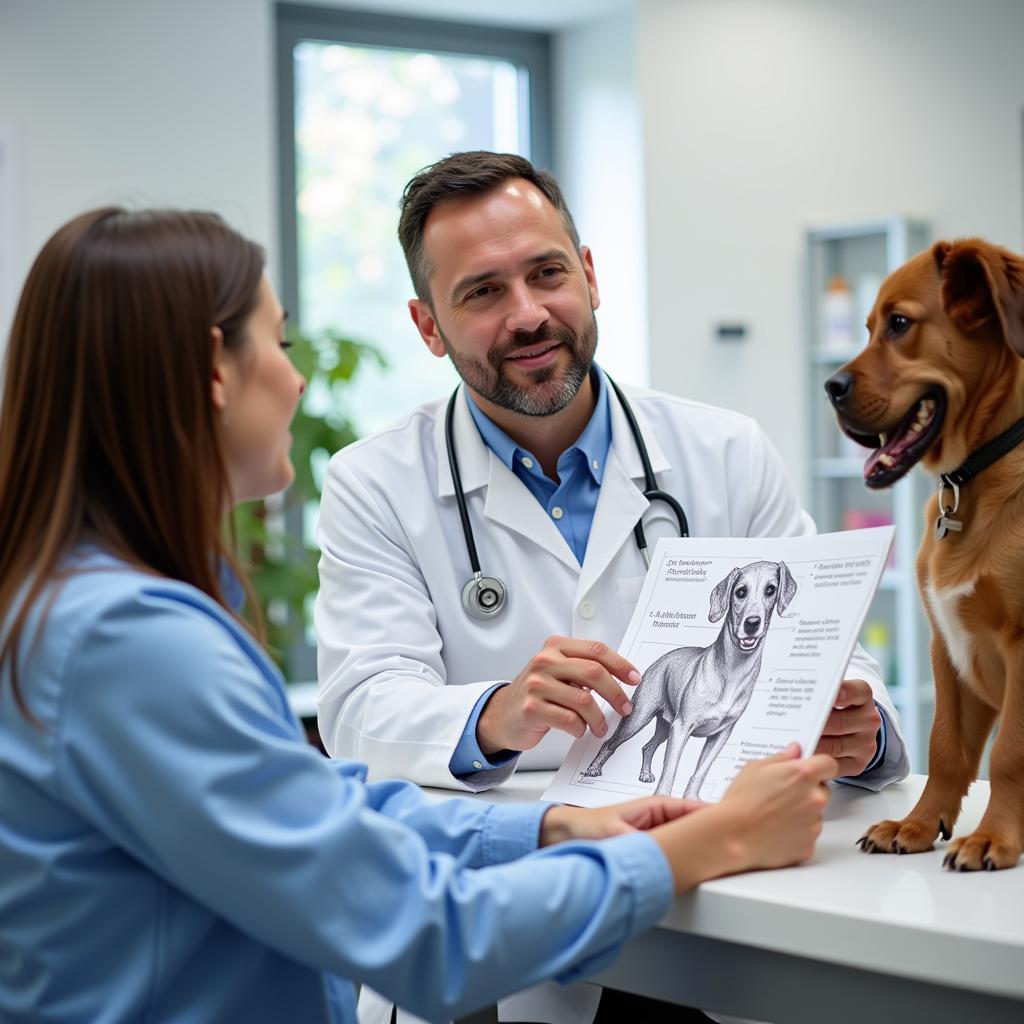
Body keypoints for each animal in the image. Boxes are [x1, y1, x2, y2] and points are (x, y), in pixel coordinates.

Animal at [823, 239, 1024, 872]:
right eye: (867, 326)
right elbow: (946, 748)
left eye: (900, 324)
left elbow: (1007, 754)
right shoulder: (948, 648)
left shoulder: (1021, 647)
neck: (974, 481)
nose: (830, 388)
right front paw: (916, 824)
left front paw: (994, 836)